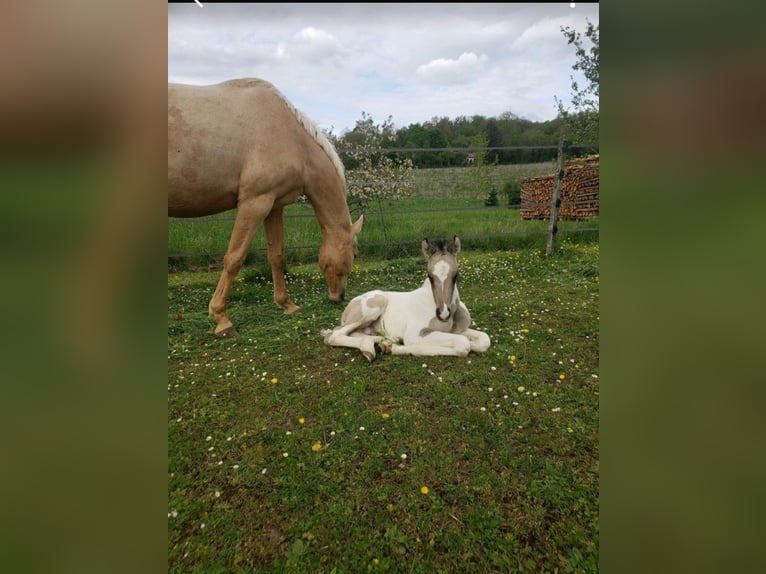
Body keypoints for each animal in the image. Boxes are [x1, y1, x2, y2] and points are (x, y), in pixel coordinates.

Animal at [167, 77, 364, 338]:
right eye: (355, 254)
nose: (338, 297)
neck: (291, 138)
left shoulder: (274, 206)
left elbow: (277, 256)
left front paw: (287, 304)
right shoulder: (255, 203)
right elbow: (234, 259)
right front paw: (221, 319)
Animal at [322, 236, 492, 362]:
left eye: (456, 275)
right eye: (430, 275)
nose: (443, 314)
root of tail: (348, 308)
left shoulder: (457, 330)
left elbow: (484, 340)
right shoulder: (415, 334)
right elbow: (462, 344)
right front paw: (397, 349)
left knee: (355, 334)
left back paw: (380, 344)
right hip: (374, 306)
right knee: (335, 335)